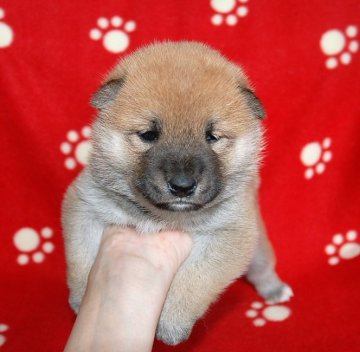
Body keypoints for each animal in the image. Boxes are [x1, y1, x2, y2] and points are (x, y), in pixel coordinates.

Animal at [62, 40, 292, 344]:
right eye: (149, 134)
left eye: (212, 137)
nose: (182, 186)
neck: (158, 216)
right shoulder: (83, 205)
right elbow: (81, 258)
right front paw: (81, 299)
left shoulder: (230, 233)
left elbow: (195, 278)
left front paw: (172, 322)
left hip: (259, 247)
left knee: (263, 268)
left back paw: (275, 289)